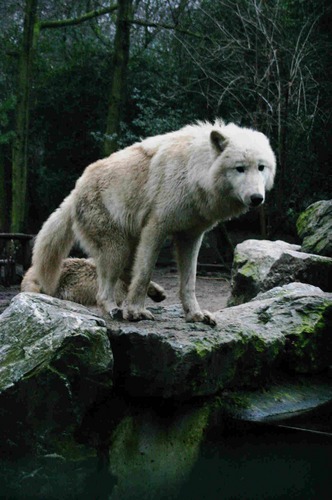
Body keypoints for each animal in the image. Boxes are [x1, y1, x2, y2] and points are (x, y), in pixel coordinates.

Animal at [24, 119, 276, 326]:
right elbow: (144, 272)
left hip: (126, 244)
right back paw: (115, 309)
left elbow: (189, 282)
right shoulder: (156, 228)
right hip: (116, 247)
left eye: (261, 167)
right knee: (105, 289)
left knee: (125, 272)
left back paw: (156, 293)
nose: (257, 198)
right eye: (239, 168)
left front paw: (196, 314)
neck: (194, 171)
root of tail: (74, 191)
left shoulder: (191, 236)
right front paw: (135, 311)